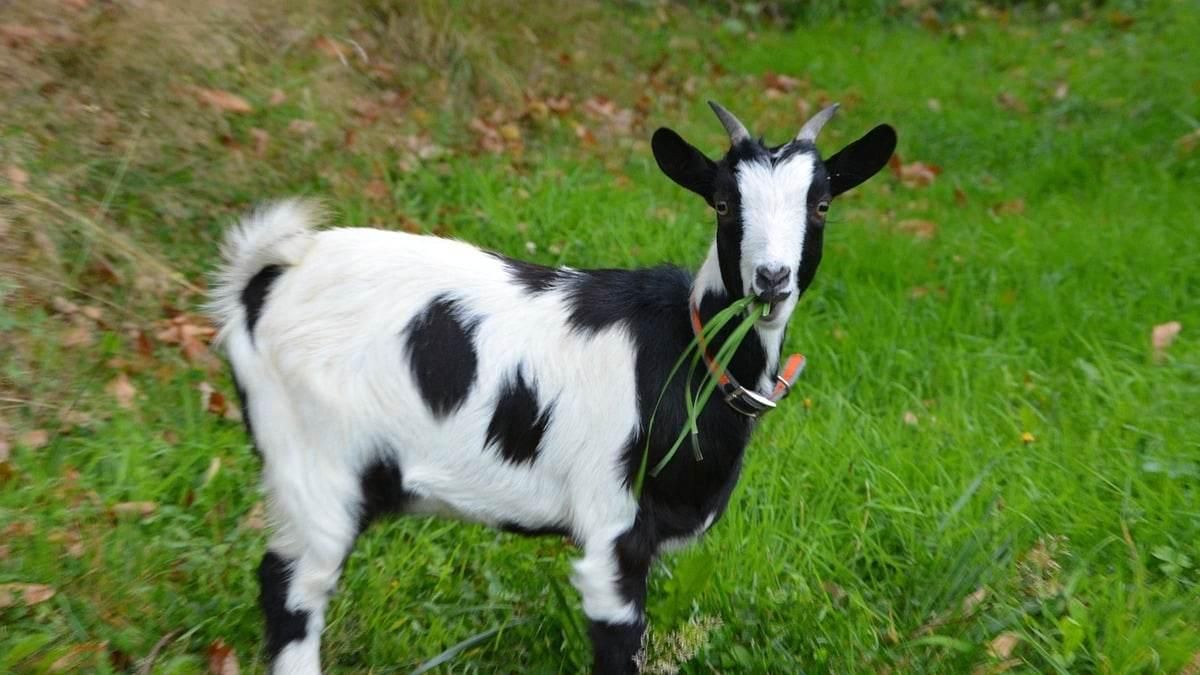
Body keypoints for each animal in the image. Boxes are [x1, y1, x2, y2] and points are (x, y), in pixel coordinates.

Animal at [209, 101, 896, 674]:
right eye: (724, 204)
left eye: (822, 204)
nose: (771, 280)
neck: (685, 355)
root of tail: (263, 278)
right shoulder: (611, 533)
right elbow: (617, 647)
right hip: (316, 466)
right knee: (291, 589)